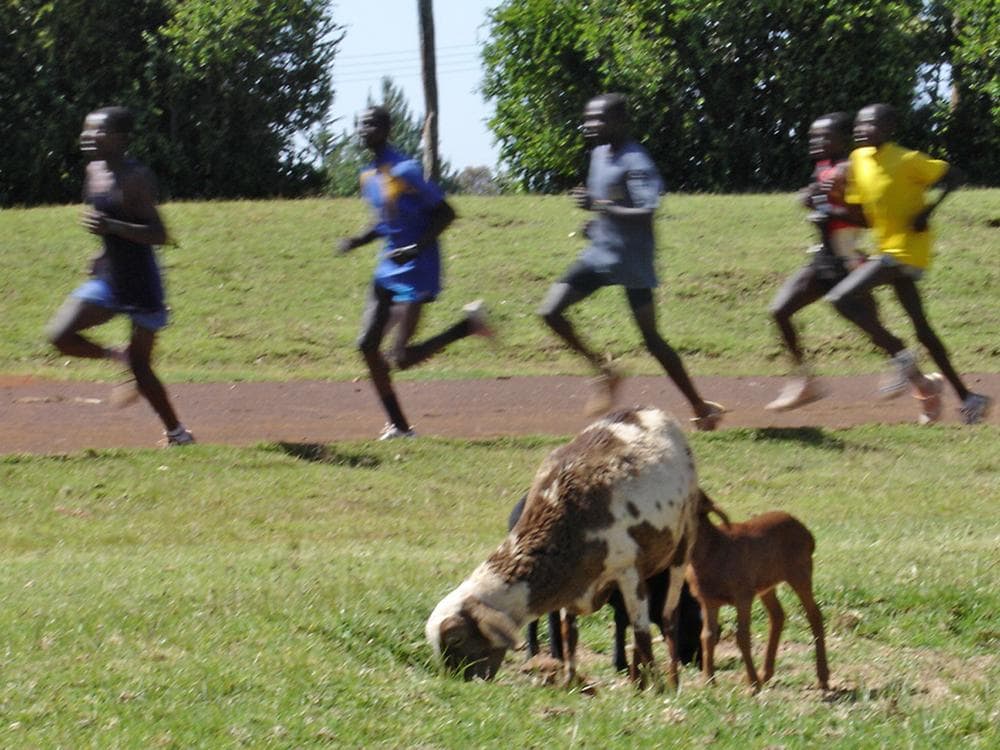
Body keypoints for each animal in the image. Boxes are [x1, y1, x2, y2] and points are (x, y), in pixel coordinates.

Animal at [686, 491, 830, 691]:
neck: (713, 549)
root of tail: (807, 533)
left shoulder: (743, 595)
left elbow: (742, 636)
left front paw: (752, 685)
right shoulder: (708, 600)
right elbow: (707, 636)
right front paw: (708, 682)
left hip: (800, 572)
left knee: (814, 614)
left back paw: (822, 678)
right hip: (766, 585)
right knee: (777, 616)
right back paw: (765, 674)